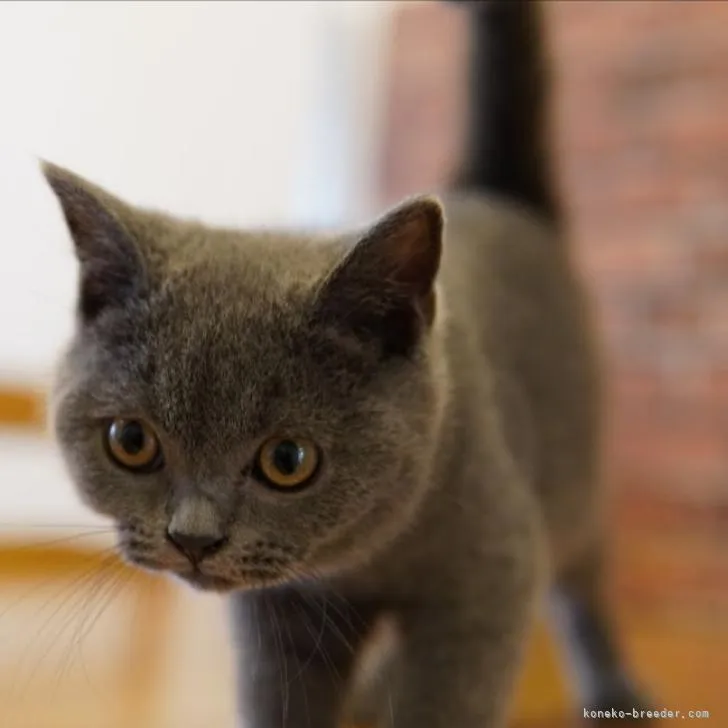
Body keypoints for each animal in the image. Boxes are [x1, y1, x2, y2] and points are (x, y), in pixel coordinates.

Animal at [44, 1, 648, 728]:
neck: (359, 564)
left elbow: (446, 698)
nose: (193, 537)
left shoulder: (487, 580)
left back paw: (616, 691)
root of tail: (495, 195)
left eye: (289, 460)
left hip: (574, 487)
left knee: (585, 587)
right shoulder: (278, 617)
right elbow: (281, 699)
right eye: (130, 441)